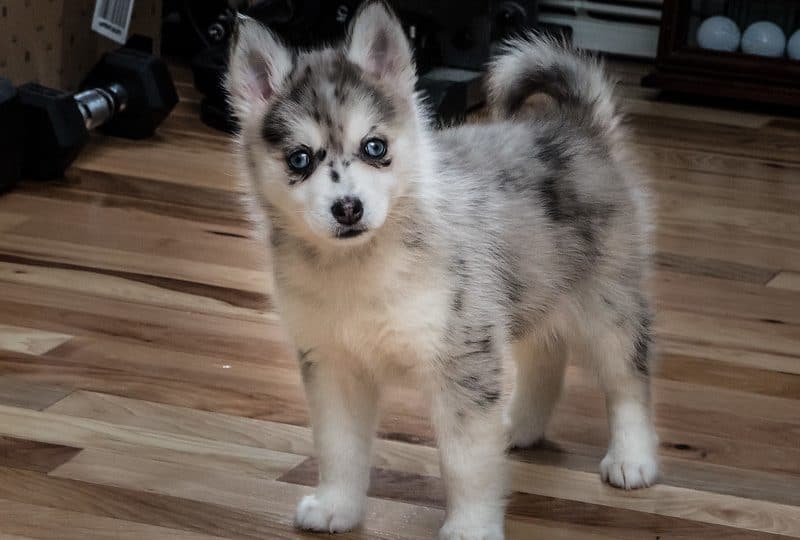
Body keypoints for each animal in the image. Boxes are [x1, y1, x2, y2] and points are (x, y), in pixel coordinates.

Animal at [223, 2, 656, 536]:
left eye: (374, 147)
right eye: (300, 159)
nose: (348, 208)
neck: (362, 266)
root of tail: (575, 128)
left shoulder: (463, 359)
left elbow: (465, 460)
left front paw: (471, 525)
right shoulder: (332, 363)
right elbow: (338, 447)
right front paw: (336, 505)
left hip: (606, 303)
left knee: (627, 380)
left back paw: (632, 458)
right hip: (530, 291)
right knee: (545, 357)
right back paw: (518, 427)